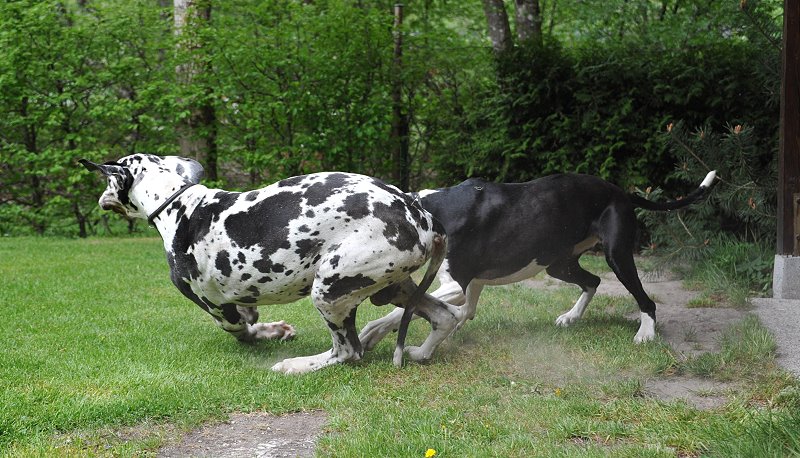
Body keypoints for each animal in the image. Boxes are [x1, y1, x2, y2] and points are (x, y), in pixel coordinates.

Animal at [80, 154, 462, 374]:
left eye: (107, 180)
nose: (99, 198)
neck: (180, 205)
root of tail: (419, 212)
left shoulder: (216, 306)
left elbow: (241, 331)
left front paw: (269, 332)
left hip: (329, 290)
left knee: (347, 352)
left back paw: (298, 365)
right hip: (391, 288)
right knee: (446, 316)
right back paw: (423, 351)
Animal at [360, 171, 716, 357]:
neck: (427, 210)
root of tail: (621, 192)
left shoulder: (456, 282)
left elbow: (413, 309)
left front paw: (379, 333)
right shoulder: (471, 284)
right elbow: (462, 311)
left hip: (617, 256)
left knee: (645, 300)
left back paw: (645, 333)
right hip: (559, 264)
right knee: (593, 282)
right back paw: (572, 316)